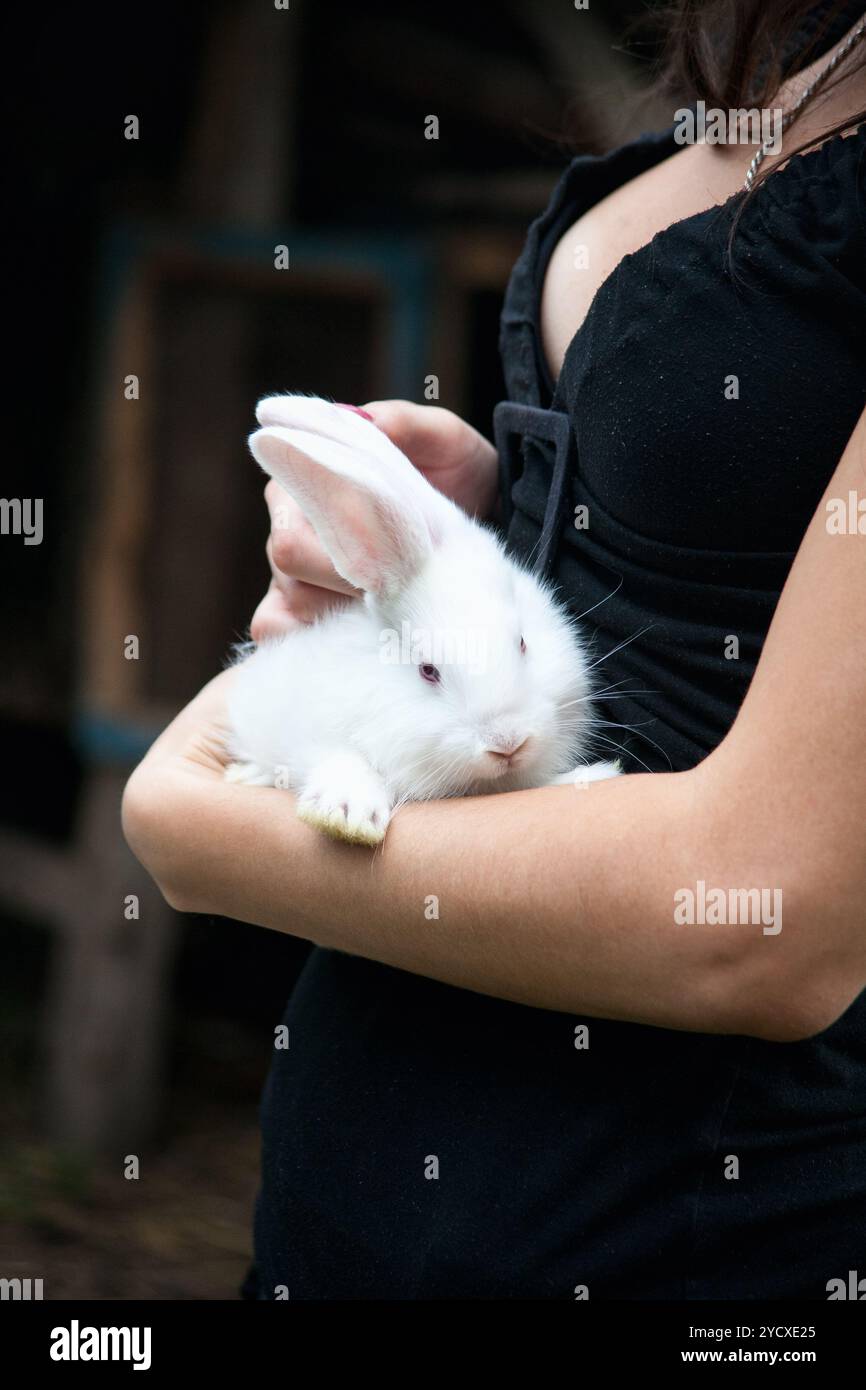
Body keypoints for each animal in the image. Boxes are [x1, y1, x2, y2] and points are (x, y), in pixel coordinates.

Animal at [223, 394, 617, 845]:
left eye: (522, 643)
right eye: (428, 671)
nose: (507, 742)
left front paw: (593, 776)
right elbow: (341, 759)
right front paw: (346, 815)